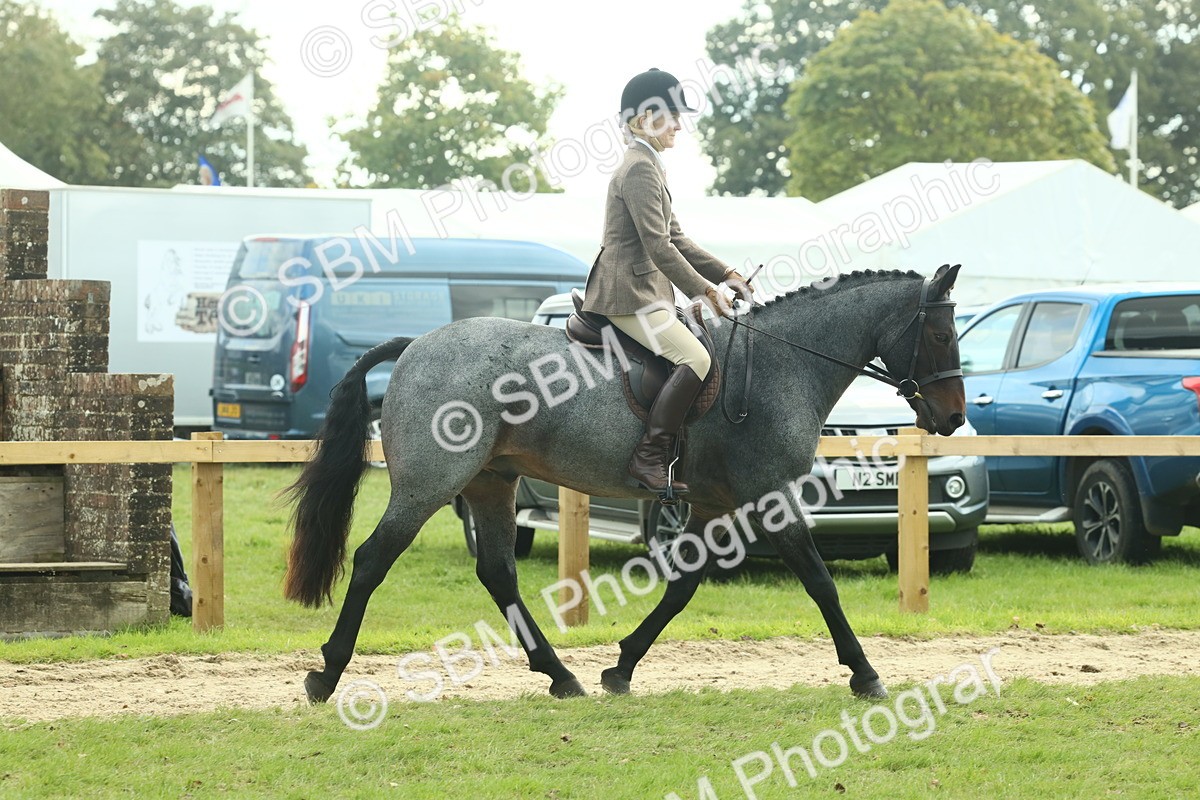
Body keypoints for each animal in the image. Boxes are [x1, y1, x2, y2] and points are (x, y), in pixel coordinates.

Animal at [284, 264, 965, 703]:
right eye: (939, 334)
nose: (954, 418)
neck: (782, 363)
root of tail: (416, 344)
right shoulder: (770, 499)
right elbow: (822, 583)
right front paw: (865, 674)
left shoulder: (712, 507)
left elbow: (683, 587)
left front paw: (622, 667)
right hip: (428, 485)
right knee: (372, 560)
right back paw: (326, 675)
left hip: (490, 483)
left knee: (498, 572)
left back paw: (561, 676)